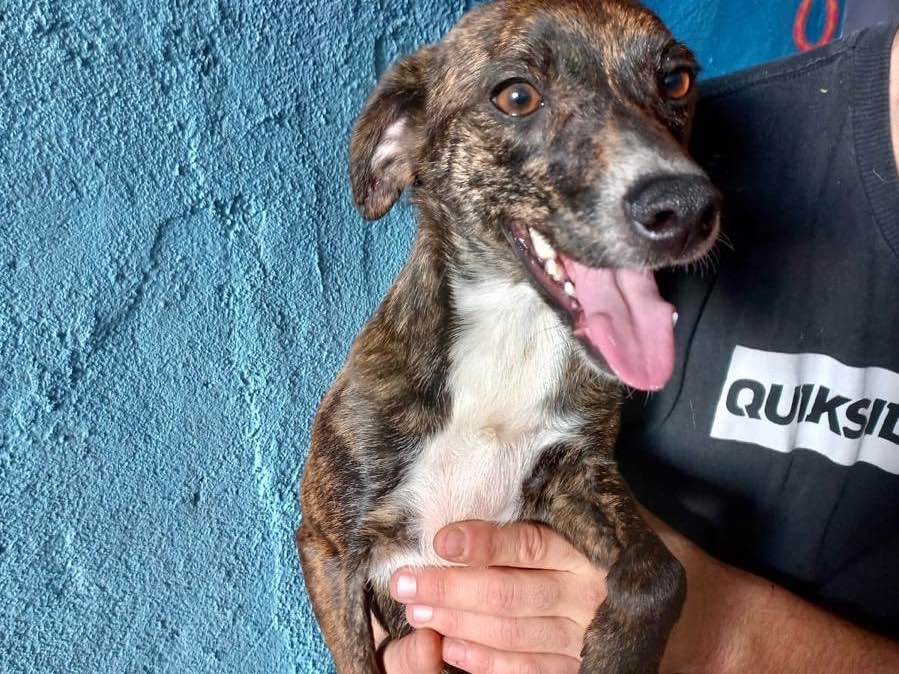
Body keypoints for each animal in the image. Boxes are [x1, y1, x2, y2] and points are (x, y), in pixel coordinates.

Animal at [298, 1, 720, 671]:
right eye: (516, 96)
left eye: (675, 80)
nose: (687, 210)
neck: (511, 331)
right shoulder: (328, 547)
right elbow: (360, 660)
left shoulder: (578, 475)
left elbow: (664, 575)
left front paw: (614, 653)